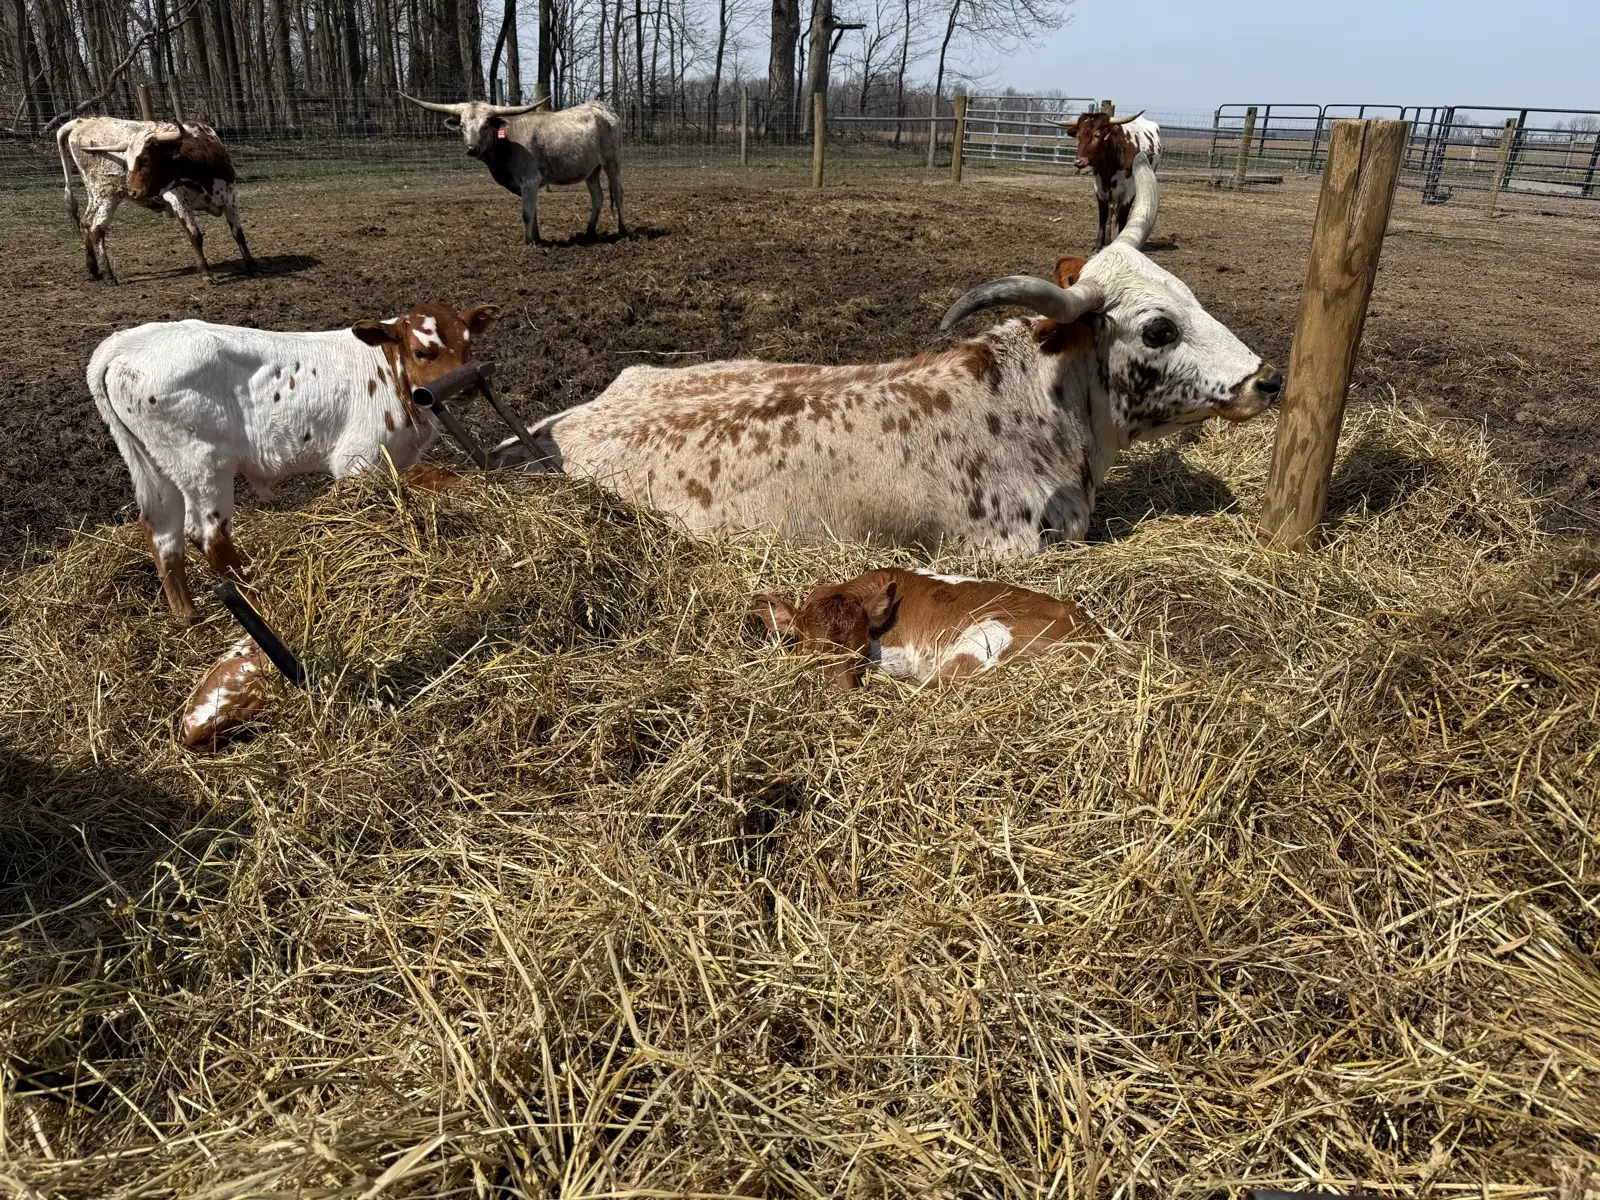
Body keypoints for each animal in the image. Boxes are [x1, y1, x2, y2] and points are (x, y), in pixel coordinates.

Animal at [57, 117, 253, 284]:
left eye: (144, 160)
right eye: (128, 161)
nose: (133, 191)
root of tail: (82, 122)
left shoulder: (231, 199)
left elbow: (238, 234)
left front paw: (251, 264)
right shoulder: (180, 203)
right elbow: (195, 236)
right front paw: (206, 273)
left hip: (95, 195)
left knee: (85, 222)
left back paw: (92, 270)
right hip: (108, 195)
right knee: (97, 229)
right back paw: (108, 275)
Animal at [89, 302, 501, 625]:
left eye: (467, 344)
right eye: (420, 352)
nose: (465, 385)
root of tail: (125, 343)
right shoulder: (358, 459)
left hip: (158, 468)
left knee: (164, 535)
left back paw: (188, 617)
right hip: (203, 462)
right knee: (209, 535)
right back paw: (257, 595)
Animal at [400, 94, 625, 244]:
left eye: (485, 126)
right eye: (463, 126)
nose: (472, 148)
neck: (507, 142)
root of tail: (602, 107)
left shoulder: (530, 180)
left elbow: (526, 212)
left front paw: (529, 243)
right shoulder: (526, 186)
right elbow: (533, 211)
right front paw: (536, 238)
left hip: (612, 162)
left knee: (618, 193)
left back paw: (622, 230)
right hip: (591, 169)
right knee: (598, 197)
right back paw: (589, 233)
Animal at [1054, 110, 1163, 249]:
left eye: (1097, 135)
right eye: (1078, 135)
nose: (1078, 162)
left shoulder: (1129, 191)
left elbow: (1122, 217)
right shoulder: (1099, 188)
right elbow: (1103, 216)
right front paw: (1098, 245)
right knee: (1111, 213)